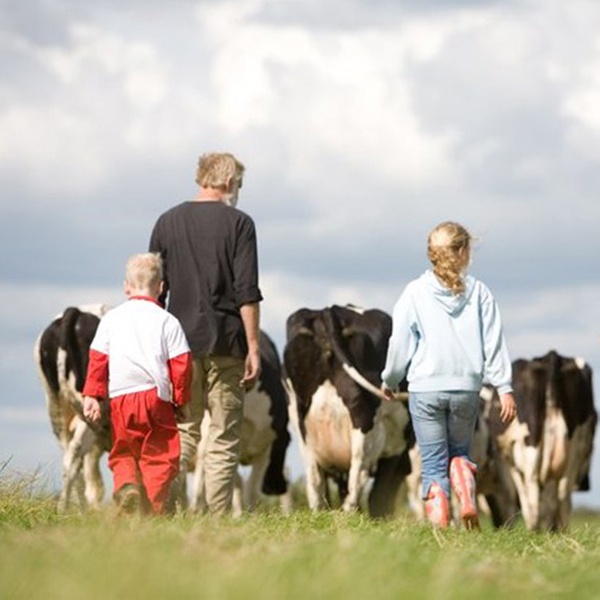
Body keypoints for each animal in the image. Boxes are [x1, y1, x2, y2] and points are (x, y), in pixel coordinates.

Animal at [33, 305, 111, 512]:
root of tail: (77, 312)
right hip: (95, 408)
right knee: (76, 455)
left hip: (56, 407)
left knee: (70, 458)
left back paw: (68, 511)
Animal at [283, 304, 414, 518]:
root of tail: (329, 310)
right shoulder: (395, 450)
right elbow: (380, 496)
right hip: (364, 417)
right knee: (358, 475)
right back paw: (350, 514)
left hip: (300, 420)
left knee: (315, 480)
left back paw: (321, 514)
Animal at [485, 350, 597, 530]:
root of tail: (552, 356)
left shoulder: (509, 465)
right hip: (574, 448)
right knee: (562, 497)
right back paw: (559, 531)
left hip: (531, 448)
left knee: (533, 498)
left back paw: (533, 530)